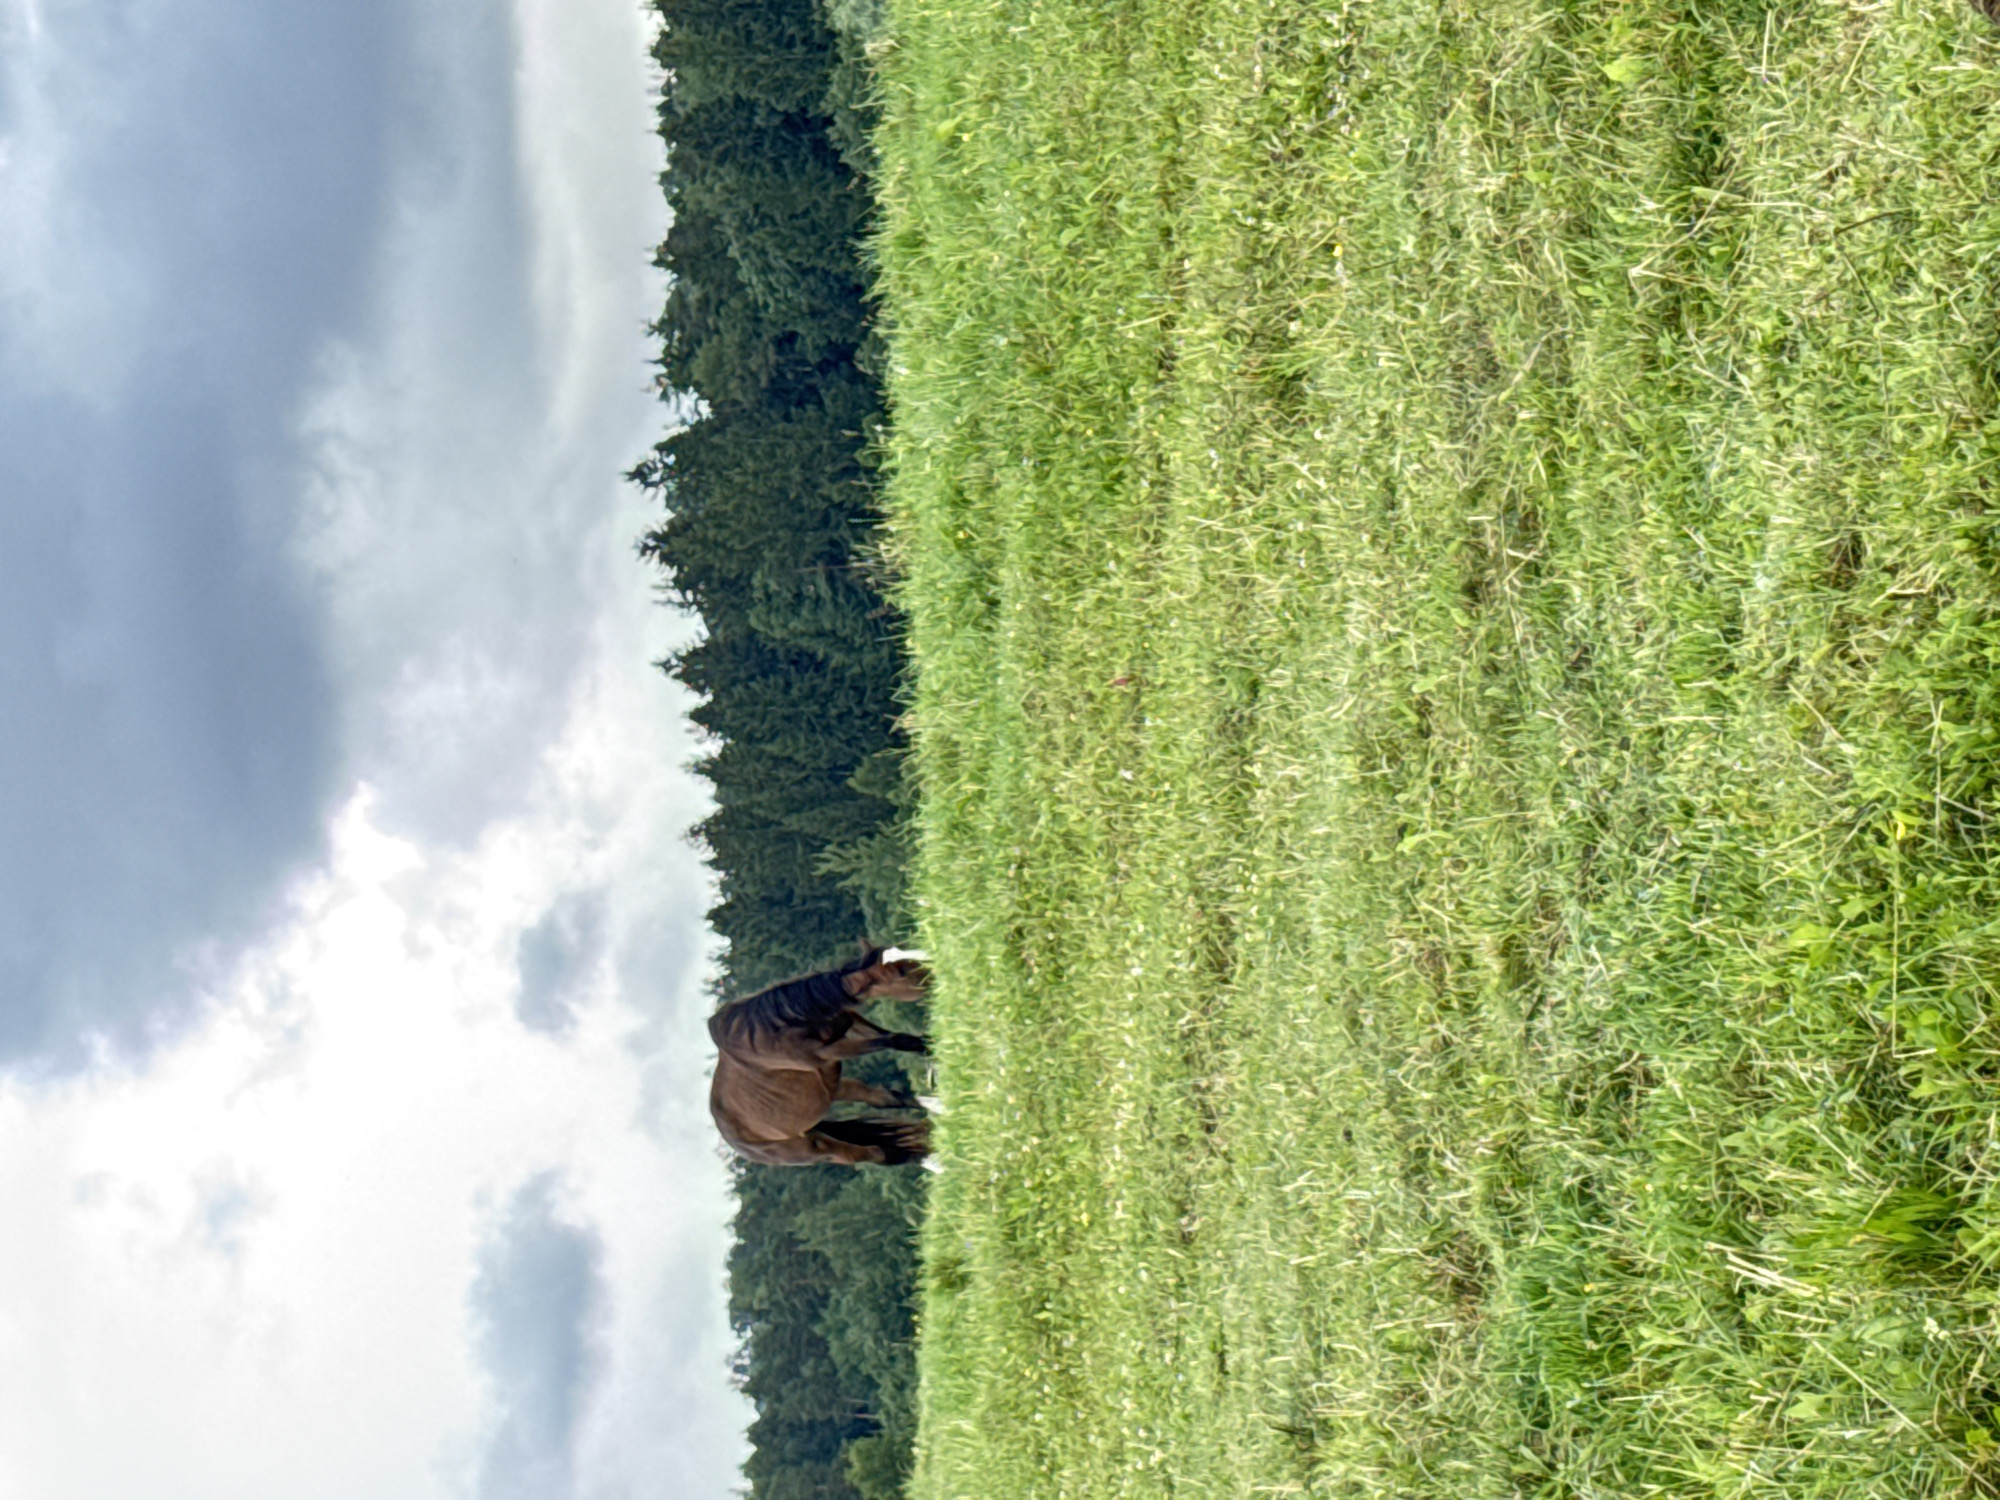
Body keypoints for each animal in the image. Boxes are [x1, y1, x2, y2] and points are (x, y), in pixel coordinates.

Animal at [708, 946, 935, 1166]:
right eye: (902, 972)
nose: (935, 969)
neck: (779, 1027)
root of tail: (737, 1144)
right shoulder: (831, 1051)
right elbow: (891, 1041)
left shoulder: (847, 1021)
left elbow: (895, 1038)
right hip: (815, 1147)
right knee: (872, 1152)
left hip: (835, 1089)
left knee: (885, 1098)